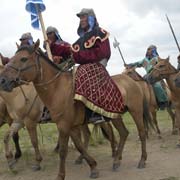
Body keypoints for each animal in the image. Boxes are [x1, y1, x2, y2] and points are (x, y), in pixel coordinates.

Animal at [0, 40, 150, 180]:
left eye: (23, 59)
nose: (3, 81)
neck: (57, 89)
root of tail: (132, 81)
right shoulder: (67, 126)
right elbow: (79, 145)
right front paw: (93, 167)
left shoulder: (54, 124)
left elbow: (60, 150)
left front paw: (59, 174)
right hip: (114, 116)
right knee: (123, 133)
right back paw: (117, 160)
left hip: (135, 111)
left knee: (141, 133)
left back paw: (141, 160)